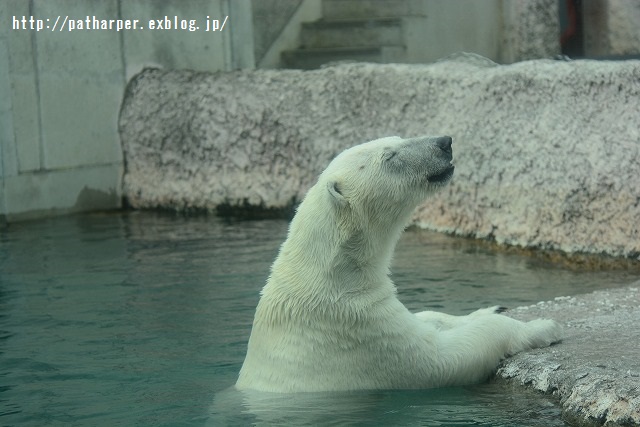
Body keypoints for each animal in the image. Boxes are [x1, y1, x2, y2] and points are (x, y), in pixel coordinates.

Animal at [235, 135, 560, 392]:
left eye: (398, 137)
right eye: (390, 155)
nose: (444, 142)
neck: (328, 277)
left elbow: (429, 318)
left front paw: (490, 309)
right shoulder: (360, 331)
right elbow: (448, 356)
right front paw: (542, 327)